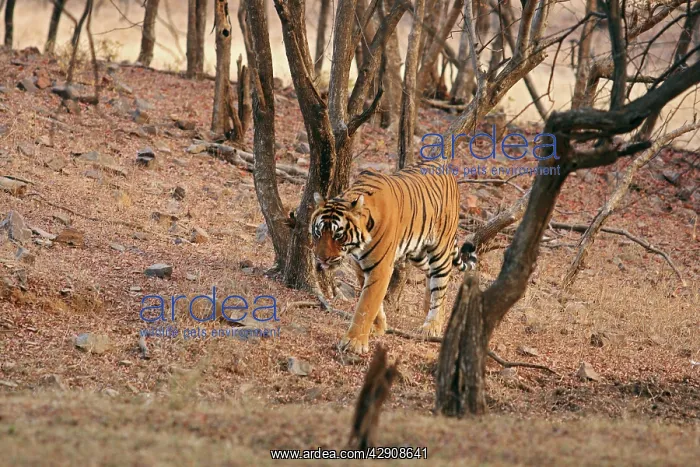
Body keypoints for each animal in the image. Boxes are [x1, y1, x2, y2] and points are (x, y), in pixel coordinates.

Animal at [310, 162, 478, 355]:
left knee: (441, 282)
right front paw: (378, 327)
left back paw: (433, 325)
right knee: (431, 275)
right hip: (418, 253)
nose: (321, 259)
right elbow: (373, 302)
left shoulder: (380, 268)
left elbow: (366, 304)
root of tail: (445, 167)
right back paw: (428, 308)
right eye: (318, 233)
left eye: (338, 235)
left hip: (440, 249)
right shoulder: (360, 266)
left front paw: (353, 343)